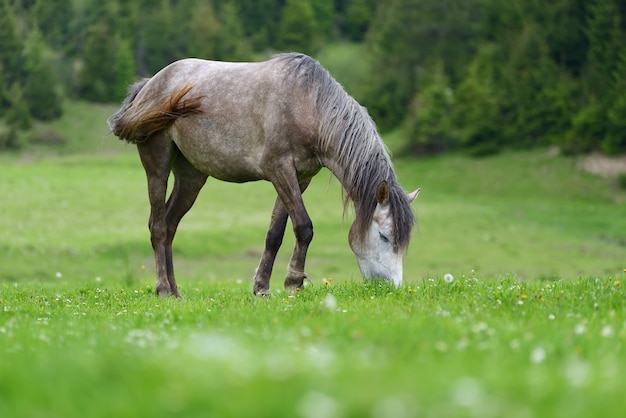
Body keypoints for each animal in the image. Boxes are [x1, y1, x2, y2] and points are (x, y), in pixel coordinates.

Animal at [108, 53, 420, 298]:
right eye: (383, 236)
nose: (392, 287)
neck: (307, 107)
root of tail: (149, 85)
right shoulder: (280, 169)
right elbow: (304, 227)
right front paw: (294, 283)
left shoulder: (299, 178)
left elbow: (275, 233)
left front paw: (262, 288)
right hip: (157, 165)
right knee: (159, 226)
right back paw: (162, 289)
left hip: (191, 177)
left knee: (171, 225)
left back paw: (175, 291)